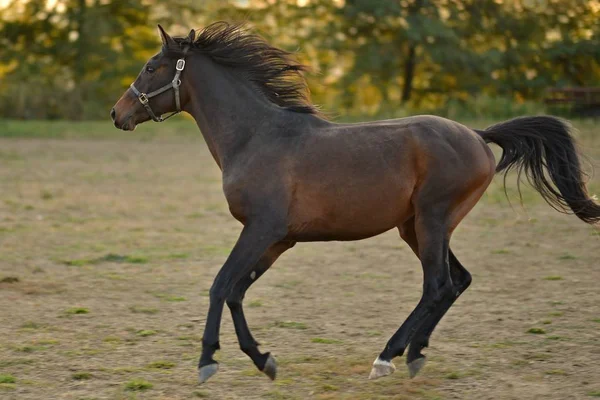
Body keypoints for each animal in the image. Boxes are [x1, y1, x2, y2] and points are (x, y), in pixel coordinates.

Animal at [110, 22, 596, 384]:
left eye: (151, 66)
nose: (117, 114)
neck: (255, 136)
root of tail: (478, 136)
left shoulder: (261, 229)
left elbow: (218, 285)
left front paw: (208, 361)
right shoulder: (276, 240)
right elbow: (235, 291)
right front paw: (263, 360)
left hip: (432, 221)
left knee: (437, 284)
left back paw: (387, 357)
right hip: (415, 227)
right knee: (457, 281)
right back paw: (415, 354)